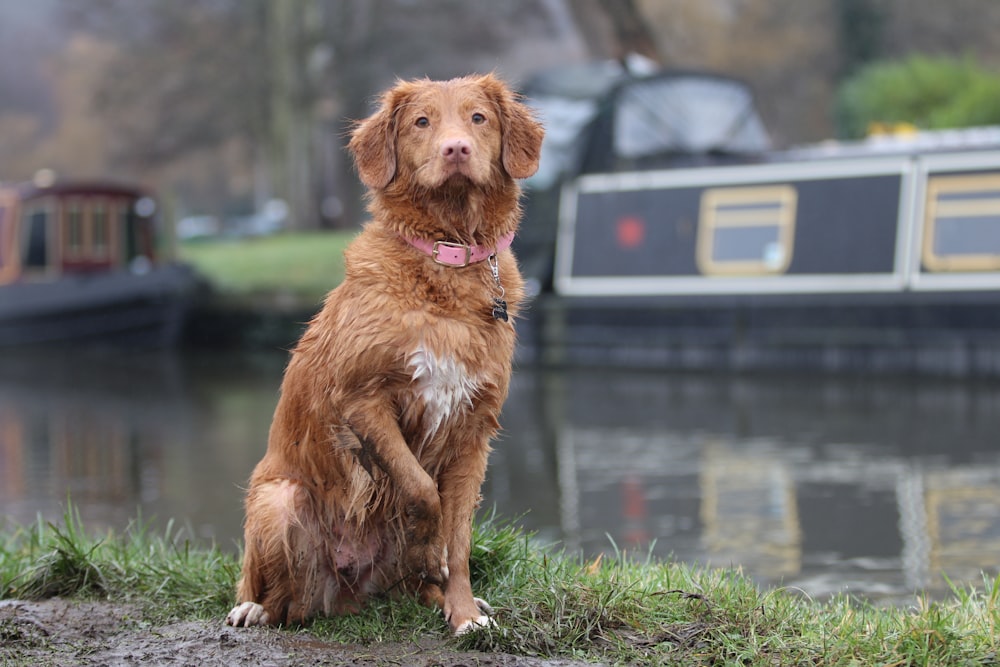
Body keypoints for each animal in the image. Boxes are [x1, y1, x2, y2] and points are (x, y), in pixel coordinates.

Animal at [226, 74, 544, 636]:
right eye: (421, 122)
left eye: (478, 117)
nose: (456, 149)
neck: (447, 260)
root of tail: (347, 594)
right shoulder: (362, 400)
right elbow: (419, 488)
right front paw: (428, 552)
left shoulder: (474, 428)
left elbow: (458, 539)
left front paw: (464, 612)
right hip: (278, 501)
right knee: (279, 594)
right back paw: (254, 607)